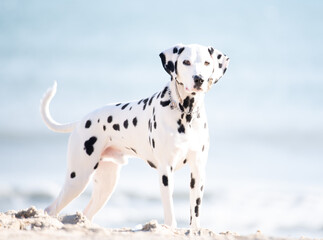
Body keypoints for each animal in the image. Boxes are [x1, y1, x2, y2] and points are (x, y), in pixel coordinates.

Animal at [40, 43, 230, 229]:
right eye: (186, 62)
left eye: (207, 63)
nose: (199, 79)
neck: (186, 114)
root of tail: (81, 121)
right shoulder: (165, 172)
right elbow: (169, 211)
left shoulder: (197, 171)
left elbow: (195, 212)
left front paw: (194, 231)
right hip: (78, 177)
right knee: (51, 209)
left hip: (106, 184)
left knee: (87, 214)